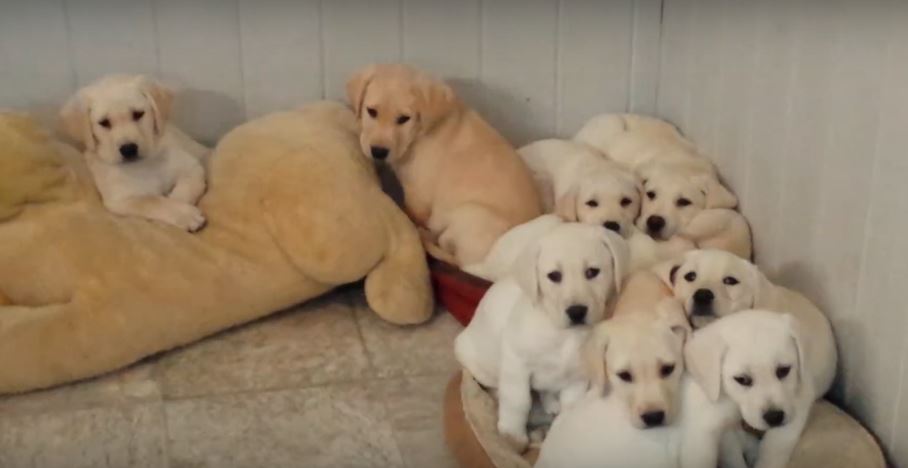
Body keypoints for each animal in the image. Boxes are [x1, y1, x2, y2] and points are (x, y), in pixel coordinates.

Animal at [60, 73, 209, 232]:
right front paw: (184, 214)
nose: (128, 149)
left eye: (138, 114)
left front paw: (180, 207)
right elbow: (152, 201)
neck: (142, 165)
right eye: (104, 122)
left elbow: (181, 192)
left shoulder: (192, 168)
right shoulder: (120, 199)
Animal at [344, 63, 536, 266]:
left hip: (468, 215)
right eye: (371, 111)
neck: (420, 134)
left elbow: (412, 214)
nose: (378, 152)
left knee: (452, 253)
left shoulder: (418, 196)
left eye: (404, 118)